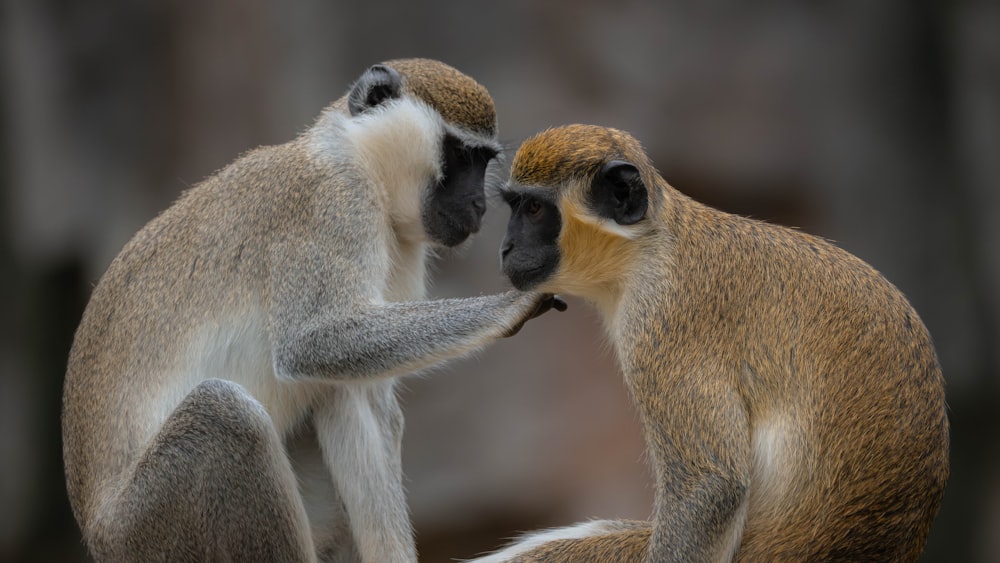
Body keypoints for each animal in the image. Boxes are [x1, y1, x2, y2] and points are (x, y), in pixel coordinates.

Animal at [60, 58, 564, 563]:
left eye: (483, 161)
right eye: (461, 156)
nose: (479, 205)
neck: (358, 159)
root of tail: (100, 538)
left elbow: (367, 390)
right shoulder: (332, 204)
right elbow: (312, 342)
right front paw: (512, 305)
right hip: (155, 527)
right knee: (230, 410)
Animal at [472, 125, 948, 560]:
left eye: (535, 209)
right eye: (516, 207)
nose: (506, 248)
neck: (648, 246)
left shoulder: (660, 320)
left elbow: (709, 487)